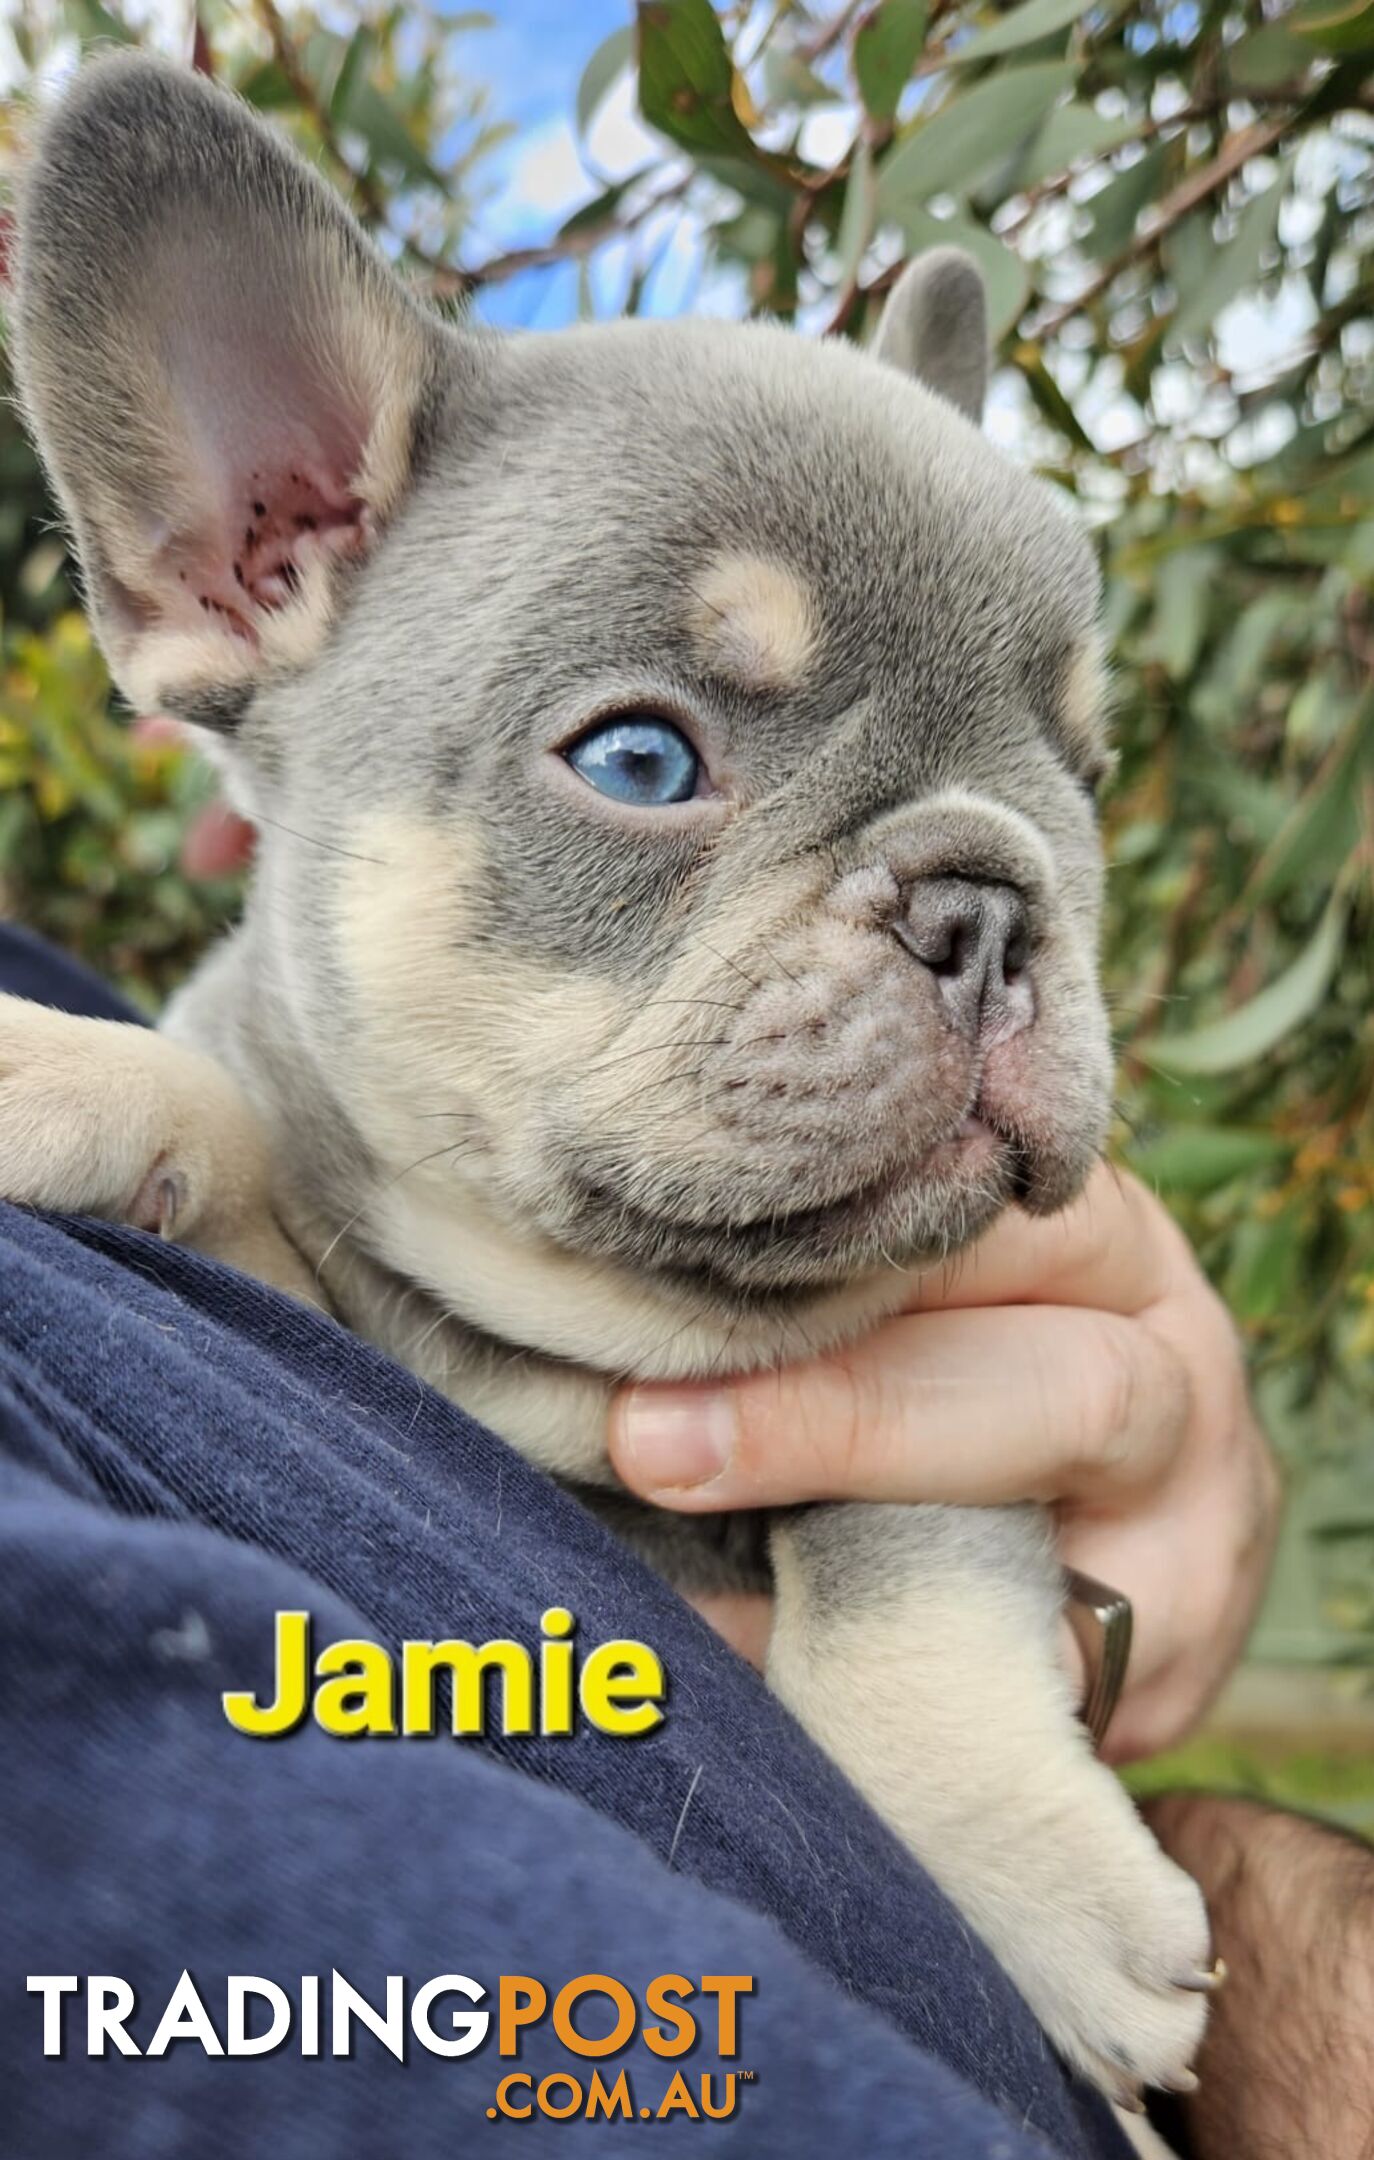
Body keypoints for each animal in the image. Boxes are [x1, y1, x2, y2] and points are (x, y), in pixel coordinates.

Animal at [8, 54, 1209, 2108]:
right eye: (641, 762)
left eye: (1081, 775)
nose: (991, 901)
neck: (590, 1327)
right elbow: (213, 1111)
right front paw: (43, 1063)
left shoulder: (954, 1360)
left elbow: (901, 1550)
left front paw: (1038, 1872)